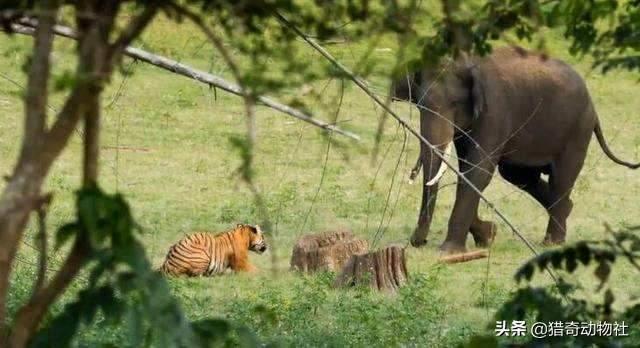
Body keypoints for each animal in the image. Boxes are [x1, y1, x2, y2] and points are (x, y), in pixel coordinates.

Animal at [390, 45, 640, 253]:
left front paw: (449, 252)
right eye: (419, 105)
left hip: (578, 128)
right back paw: (567, 211)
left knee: (561, 178)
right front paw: (488, 236)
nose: (417, 242)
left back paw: (552, 241)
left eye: (455, 104)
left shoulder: (495, 110)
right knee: (518, 175)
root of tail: (593, 105)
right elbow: (467, 171)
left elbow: (478, 171)